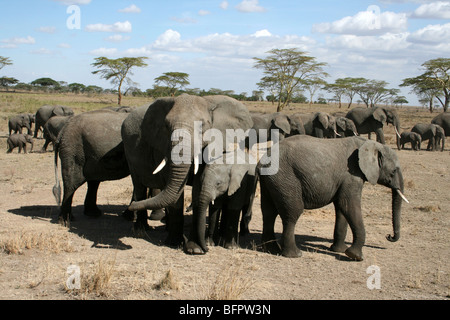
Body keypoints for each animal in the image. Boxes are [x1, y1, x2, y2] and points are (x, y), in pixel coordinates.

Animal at [121, 94, 253, 246]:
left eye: (202, 125)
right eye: (166, 125)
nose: (132, 206)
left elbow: (198, 185)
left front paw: (194, 247)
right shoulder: (162, 144)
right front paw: (175, 243)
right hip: (129, 150)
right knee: (139, 186)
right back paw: (141, 229)